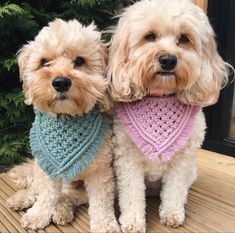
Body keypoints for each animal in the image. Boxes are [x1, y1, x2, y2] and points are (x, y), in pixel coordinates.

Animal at [7, 17, 119, 231]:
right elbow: (46, 195)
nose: (60, 82)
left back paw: (61, 211)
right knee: (37, 189)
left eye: (79, 61)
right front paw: (37, 215)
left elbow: (101, 202)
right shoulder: (49, 166)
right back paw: (22, 199)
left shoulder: (100, 170)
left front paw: (104, 224)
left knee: (68, 196)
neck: (68, 119)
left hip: (79, 188)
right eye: (44, 62)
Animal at [108, 0, 228, 232]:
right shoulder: (127, 159)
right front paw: (133, 221)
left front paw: (172, 214)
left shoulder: (182, 160)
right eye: (150, 36)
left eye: (184, 38)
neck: (161, 96)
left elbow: (174, 190)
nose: (168, 59)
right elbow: (131, 195)